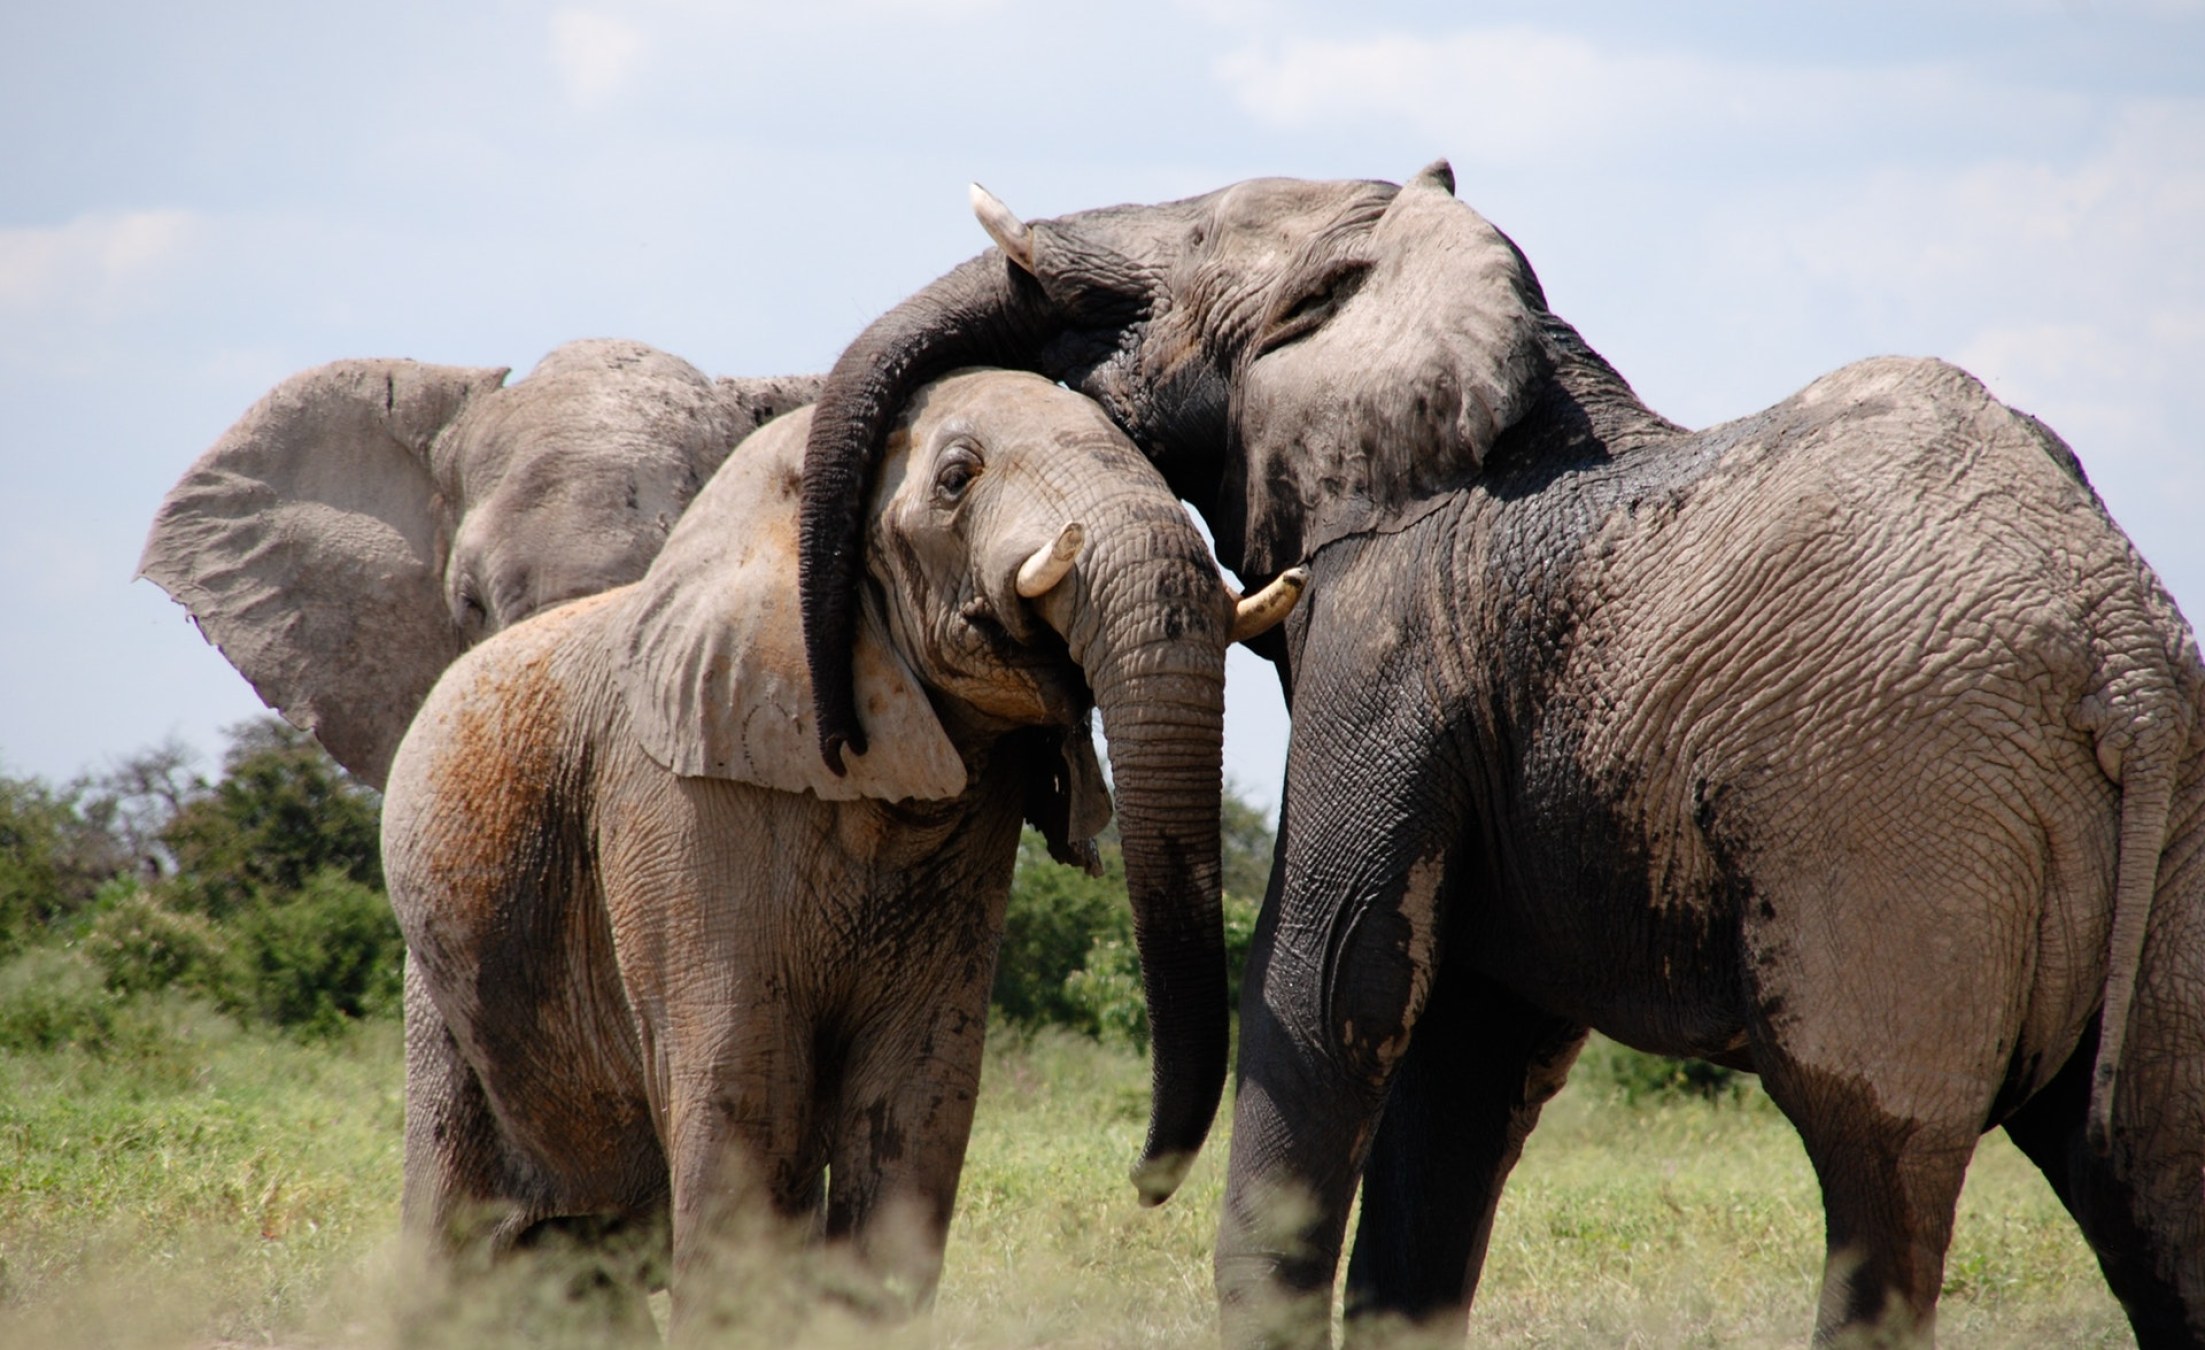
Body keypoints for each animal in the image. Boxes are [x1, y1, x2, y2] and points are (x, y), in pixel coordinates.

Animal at [381, 368, 1301, 1330]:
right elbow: (743, 1089)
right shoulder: (677, 803)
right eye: (956, 478)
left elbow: (919, 1096)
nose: (1141, 1182)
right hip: (440, 985)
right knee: (454, 1232)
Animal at [791, 164, 2205, 1346]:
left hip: (1901, 822)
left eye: (1188, 246)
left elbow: (1333, 979)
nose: (844, 732)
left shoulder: (1392, 626)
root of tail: (2123, 655)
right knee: (2148, 1184)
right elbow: (1466, 1049)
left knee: (1879, 1175)